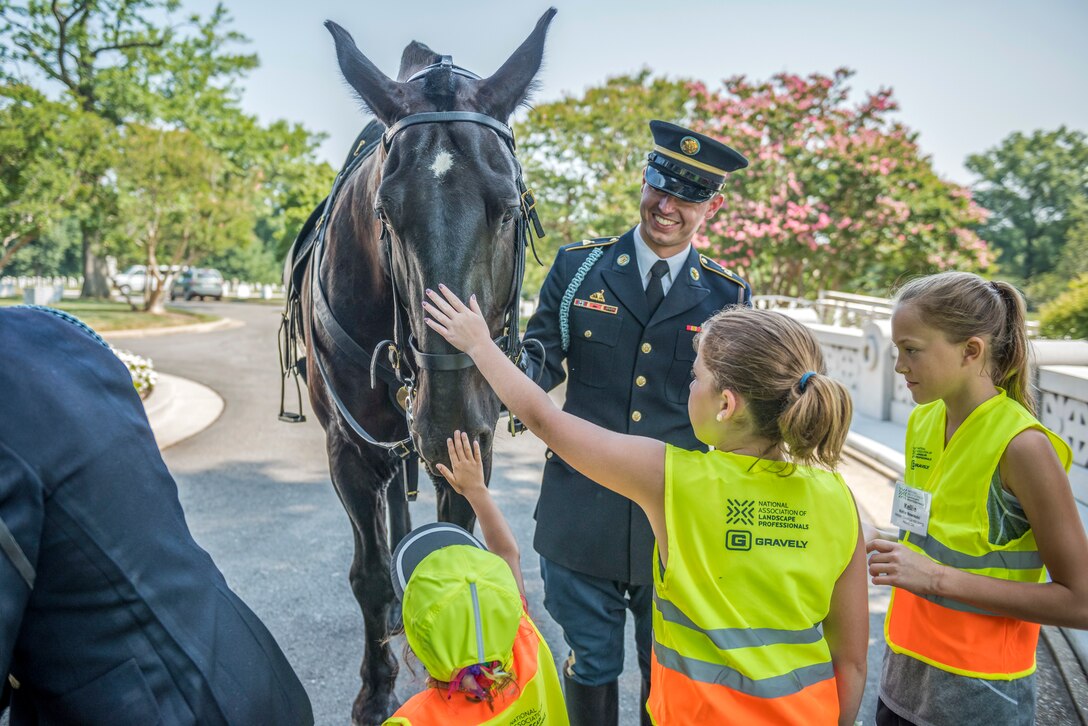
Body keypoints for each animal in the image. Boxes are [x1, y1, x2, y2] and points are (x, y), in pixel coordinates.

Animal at [280, 7, 552, 726]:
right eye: (385, 212)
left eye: (508, 208)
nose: (446, 411)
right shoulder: (348, 448)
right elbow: (371, 575)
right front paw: (376, 689)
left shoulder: (472, 447)